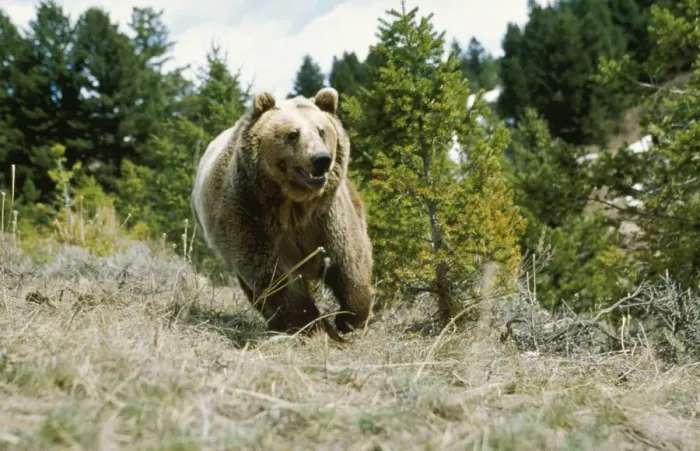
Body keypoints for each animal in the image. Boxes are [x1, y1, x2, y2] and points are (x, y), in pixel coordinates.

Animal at [191, 87, 373, 340]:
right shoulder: (250, 216)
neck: (293, 204)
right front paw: (311, 324)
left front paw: (349, 319)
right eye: (292, 134)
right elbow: (276, 278)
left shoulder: (326, 216)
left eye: (321, 131)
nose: (321, 159)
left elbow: (349, 261)